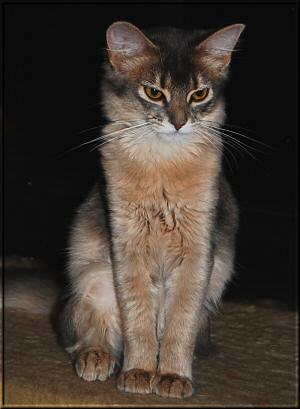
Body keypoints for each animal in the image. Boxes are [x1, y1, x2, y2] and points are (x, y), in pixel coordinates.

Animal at [60, 20, 244, 396]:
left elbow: (180, 324)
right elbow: (137, 321)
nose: (179, 122)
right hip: (93, 276)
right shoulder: (125, 246)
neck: (163, 164)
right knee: (84, 331)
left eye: (199, 94)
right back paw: (96, 357)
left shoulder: (198, 251)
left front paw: (173, 375)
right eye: (154, 92)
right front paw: (139, 372)